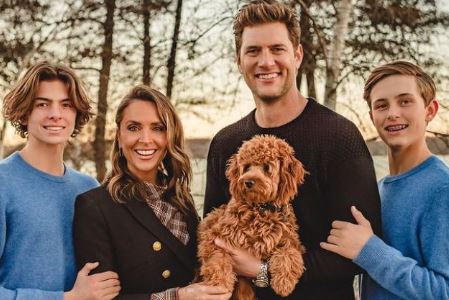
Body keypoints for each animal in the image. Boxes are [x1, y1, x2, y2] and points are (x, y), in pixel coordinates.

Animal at [198, 135, 306, 298]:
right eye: (247, 166)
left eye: (267, 167)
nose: (248, 181)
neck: (260, 208)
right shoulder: (215, 236)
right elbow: (218, 257)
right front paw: (221, 283)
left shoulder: (291, 240)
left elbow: (290, 254)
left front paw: (284, 283)